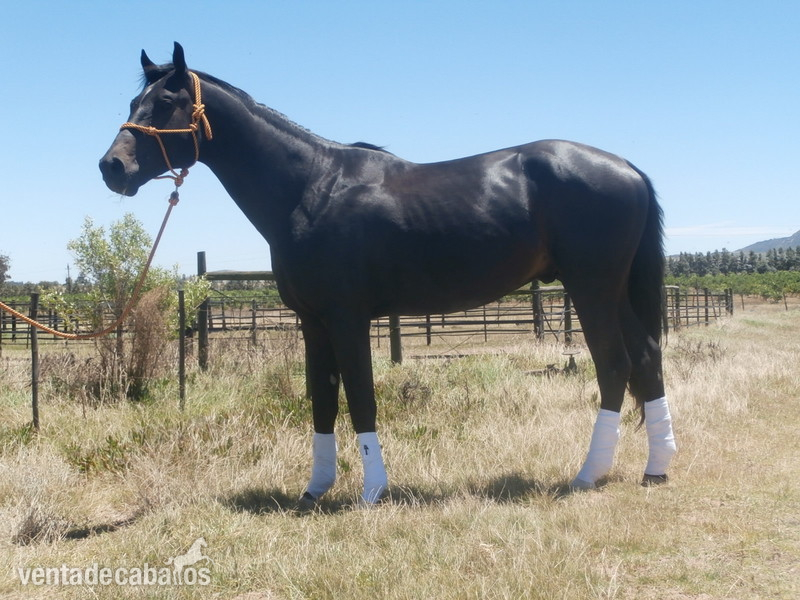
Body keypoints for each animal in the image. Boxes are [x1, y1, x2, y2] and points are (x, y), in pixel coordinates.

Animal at [100, 43, 676, 504]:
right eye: (132, 104)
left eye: (166, 103)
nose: (112, 167)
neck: (311, 187)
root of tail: (627, 168)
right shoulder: (313, 321)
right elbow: (323, 397)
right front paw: (315, 489)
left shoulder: (347, 317)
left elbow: (360, 395)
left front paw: (373, 490)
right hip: (616, 291)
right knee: (647, 358)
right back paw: (656, 469)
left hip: (592, 288)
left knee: (615, 366)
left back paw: (588, 474)